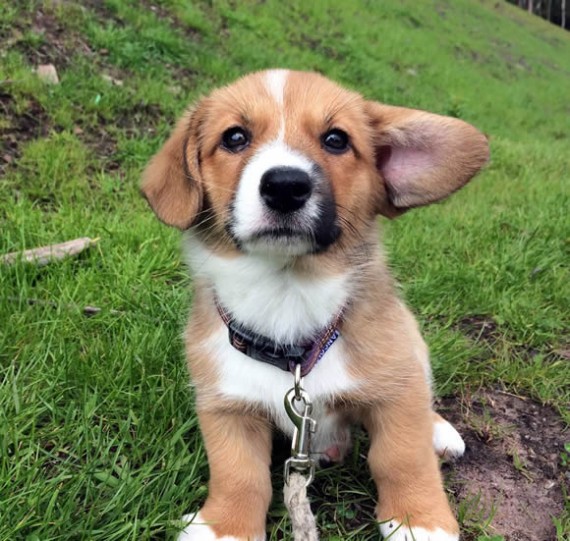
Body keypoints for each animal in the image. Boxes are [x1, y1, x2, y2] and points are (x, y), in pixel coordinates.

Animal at [141, 69, 488, 536]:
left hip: (413, 345)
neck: (286, 297)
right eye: (234, 137)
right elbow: (237, 473)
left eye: (336, 139)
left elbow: (402, 456)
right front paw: (225, 527)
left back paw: (438, 432)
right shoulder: (226, 405)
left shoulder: (397, 389)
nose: (285, 187)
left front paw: (419, 520)